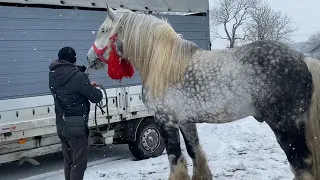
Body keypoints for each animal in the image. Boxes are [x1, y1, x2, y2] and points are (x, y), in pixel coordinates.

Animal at [86, 5, 320, 180]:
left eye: (104, 30)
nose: (89, 58)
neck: (162, 64)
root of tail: (303, 58)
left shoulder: (166, 121)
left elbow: (176, 160)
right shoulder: (185, 122)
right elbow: (195, 153)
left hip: (285, 125)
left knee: (301, 163)